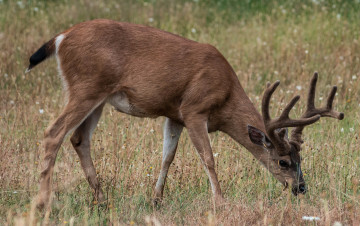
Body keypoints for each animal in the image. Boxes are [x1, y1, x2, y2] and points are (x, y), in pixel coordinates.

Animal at [26, 18, 344, 209]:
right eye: (283, 161)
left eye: (301, 159)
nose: (301, 187)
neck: (226, 94)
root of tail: (60, 38)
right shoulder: (194, 109)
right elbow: (208, 158)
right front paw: (220, 201)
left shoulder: (174, 114)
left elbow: (167, 156)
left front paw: (156, 200)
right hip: (86, 87)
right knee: (53, 133)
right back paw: (43, 202)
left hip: (98, 98)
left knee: (79, 139)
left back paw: (102, 200)